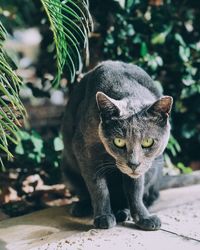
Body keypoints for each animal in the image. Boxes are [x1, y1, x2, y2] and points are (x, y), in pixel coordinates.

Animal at [61, 60, 172, 230]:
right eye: (119, 142)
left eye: (148, 142)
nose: (134, 164)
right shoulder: (85, 152)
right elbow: (98, 188)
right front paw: (103, 217)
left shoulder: (141, 170)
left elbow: (135, 190)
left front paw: (143, 218)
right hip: (67, 169)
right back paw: (82, 207)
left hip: (155, 167)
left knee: (150, 195)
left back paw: (123, 212)